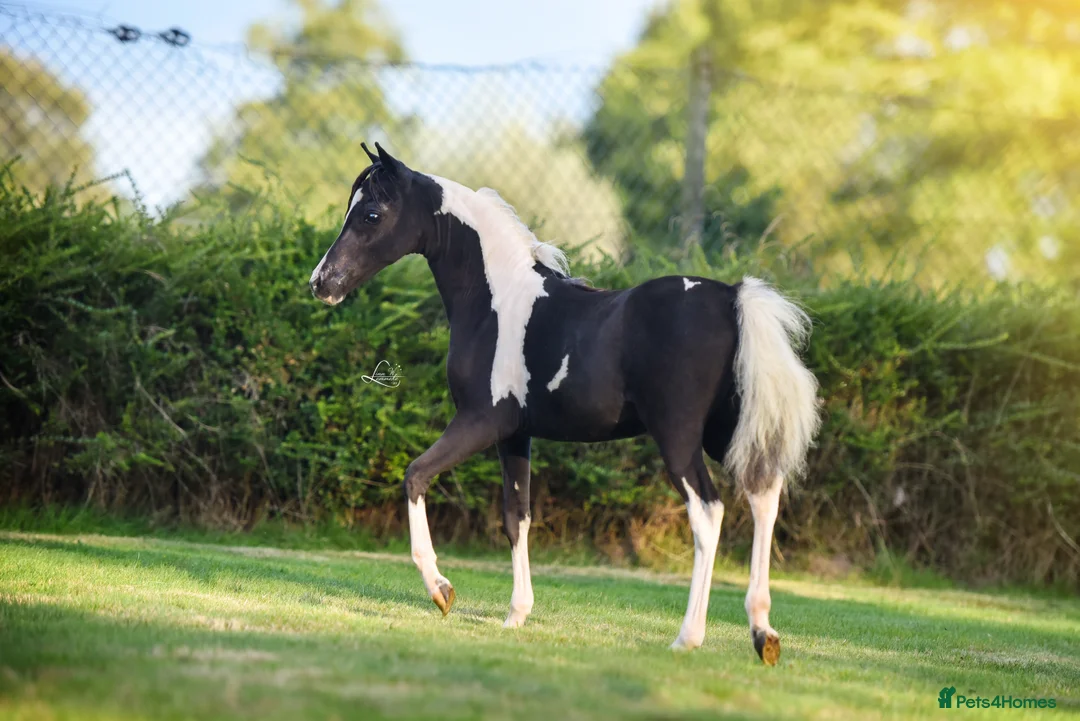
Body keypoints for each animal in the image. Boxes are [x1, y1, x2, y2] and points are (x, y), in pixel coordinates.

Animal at [309, 142, 821, 665]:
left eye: (372, 213)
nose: (321, 283)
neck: (497, 299)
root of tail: (733, 298)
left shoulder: (480, 421)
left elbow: (416, 475)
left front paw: (442, 590)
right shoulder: (516, 434)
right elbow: (517, 516)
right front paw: (516, 615)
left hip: (677, 435)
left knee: (708, 511)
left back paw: (688, 636)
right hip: (726, 432)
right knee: (764, 498)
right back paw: (763, 634)